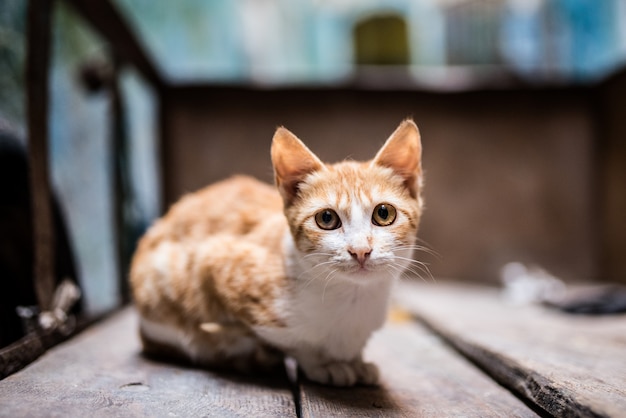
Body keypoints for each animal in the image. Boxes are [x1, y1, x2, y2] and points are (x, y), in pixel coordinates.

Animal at [132, 119, 424, 386]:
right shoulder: (212, 260)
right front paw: (325, 364)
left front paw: (355, 361)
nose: (360, 250)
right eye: (326, 219)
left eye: (383, 213)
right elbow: (296, 342)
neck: (353, 300)